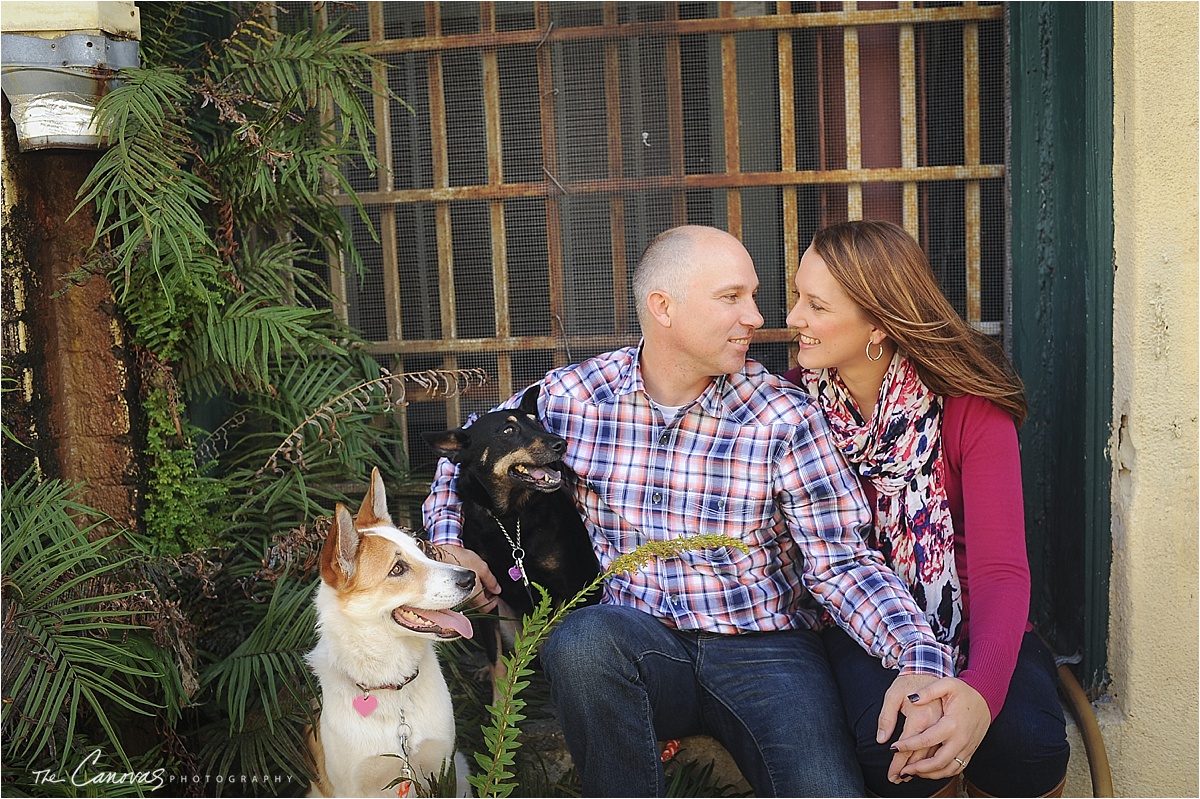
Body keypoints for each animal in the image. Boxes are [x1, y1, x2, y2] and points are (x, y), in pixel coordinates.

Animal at [307, 467, 475, 796]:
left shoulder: (442, 771)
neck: (392, 687)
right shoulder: (353, 786)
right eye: (397, 569)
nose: (470, 577)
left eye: (420, 548)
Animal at [427, 381, 604, 671]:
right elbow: (497, 662)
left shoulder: (567, 588)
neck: (511, 517)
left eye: (537, 423)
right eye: (508, 431)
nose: (561, 443)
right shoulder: (487, 599)